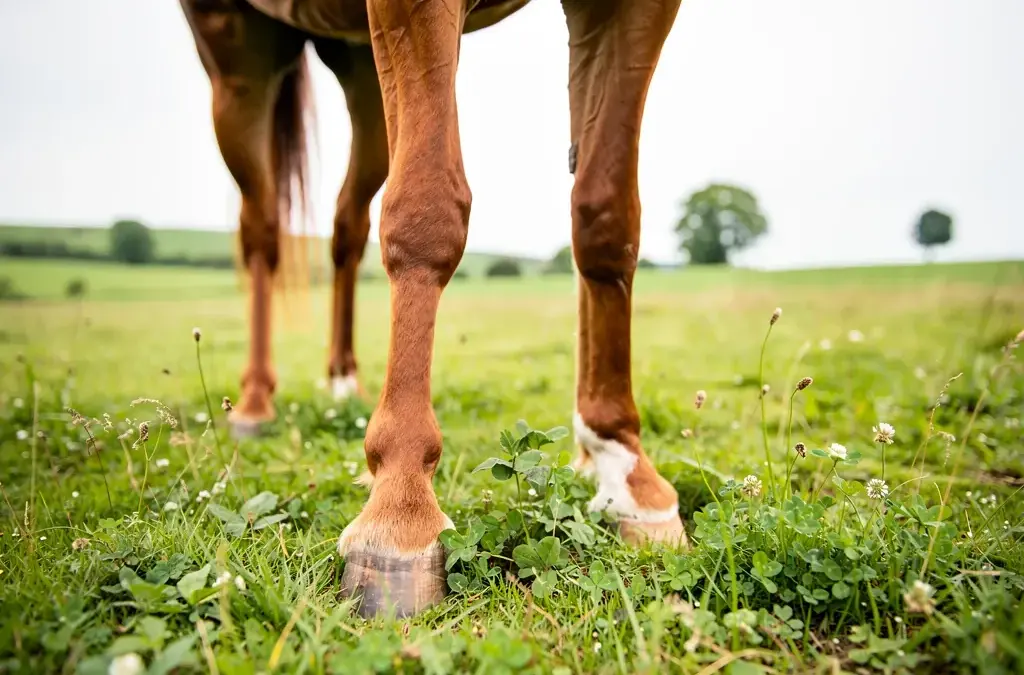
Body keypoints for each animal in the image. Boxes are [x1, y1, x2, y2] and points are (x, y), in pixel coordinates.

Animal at [180, 0, 684, 618]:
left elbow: (606, 221)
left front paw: (623, 467)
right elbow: (425, 211)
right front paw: (401, 509)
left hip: (359, 73)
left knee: (346, 225)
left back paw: (343, 380)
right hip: (236, 56)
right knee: (263, 229)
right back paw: (254, 402)